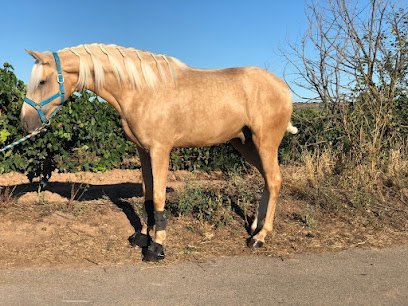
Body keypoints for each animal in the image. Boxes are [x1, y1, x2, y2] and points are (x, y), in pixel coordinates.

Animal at [20, 44, 298, 262]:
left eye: (42, 82)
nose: (25, 122)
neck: (142, 90)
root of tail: (282, 87)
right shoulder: (143, 151)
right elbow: (148, 194)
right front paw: (143, 237)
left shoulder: (160, 151)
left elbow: (159, 196)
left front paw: (157, 246)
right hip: (245, 144)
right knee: (267, 181)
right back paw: (254, 227)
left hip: (265, 143)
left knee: (274, 181)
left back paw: (260, 237)